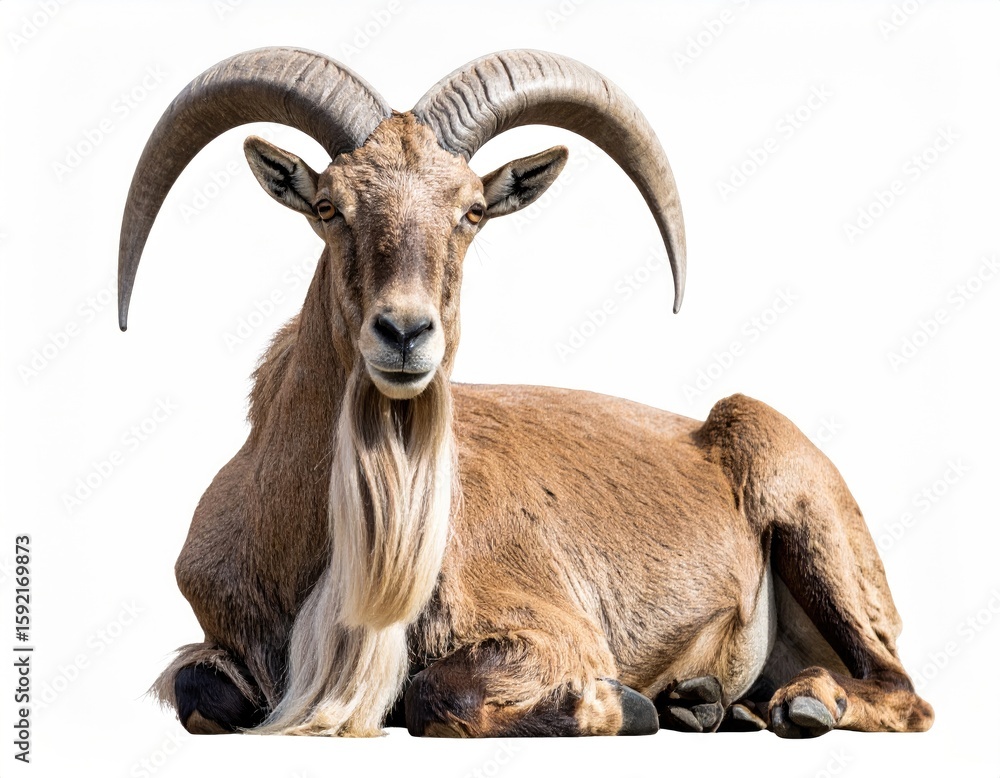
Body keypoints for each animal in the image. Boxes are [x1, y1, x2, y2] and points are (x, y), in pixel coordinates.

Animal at [119, 47, 933, 738]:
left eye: (471, 210)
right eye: (330, 207)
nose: (404, 332)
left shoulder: (554, 628)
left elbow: (437, 693)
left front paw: (627, 705)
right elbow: (199, 691)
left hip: (804, 513)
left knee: (899, 686)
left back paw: (795, 704)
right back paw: (710, 702)